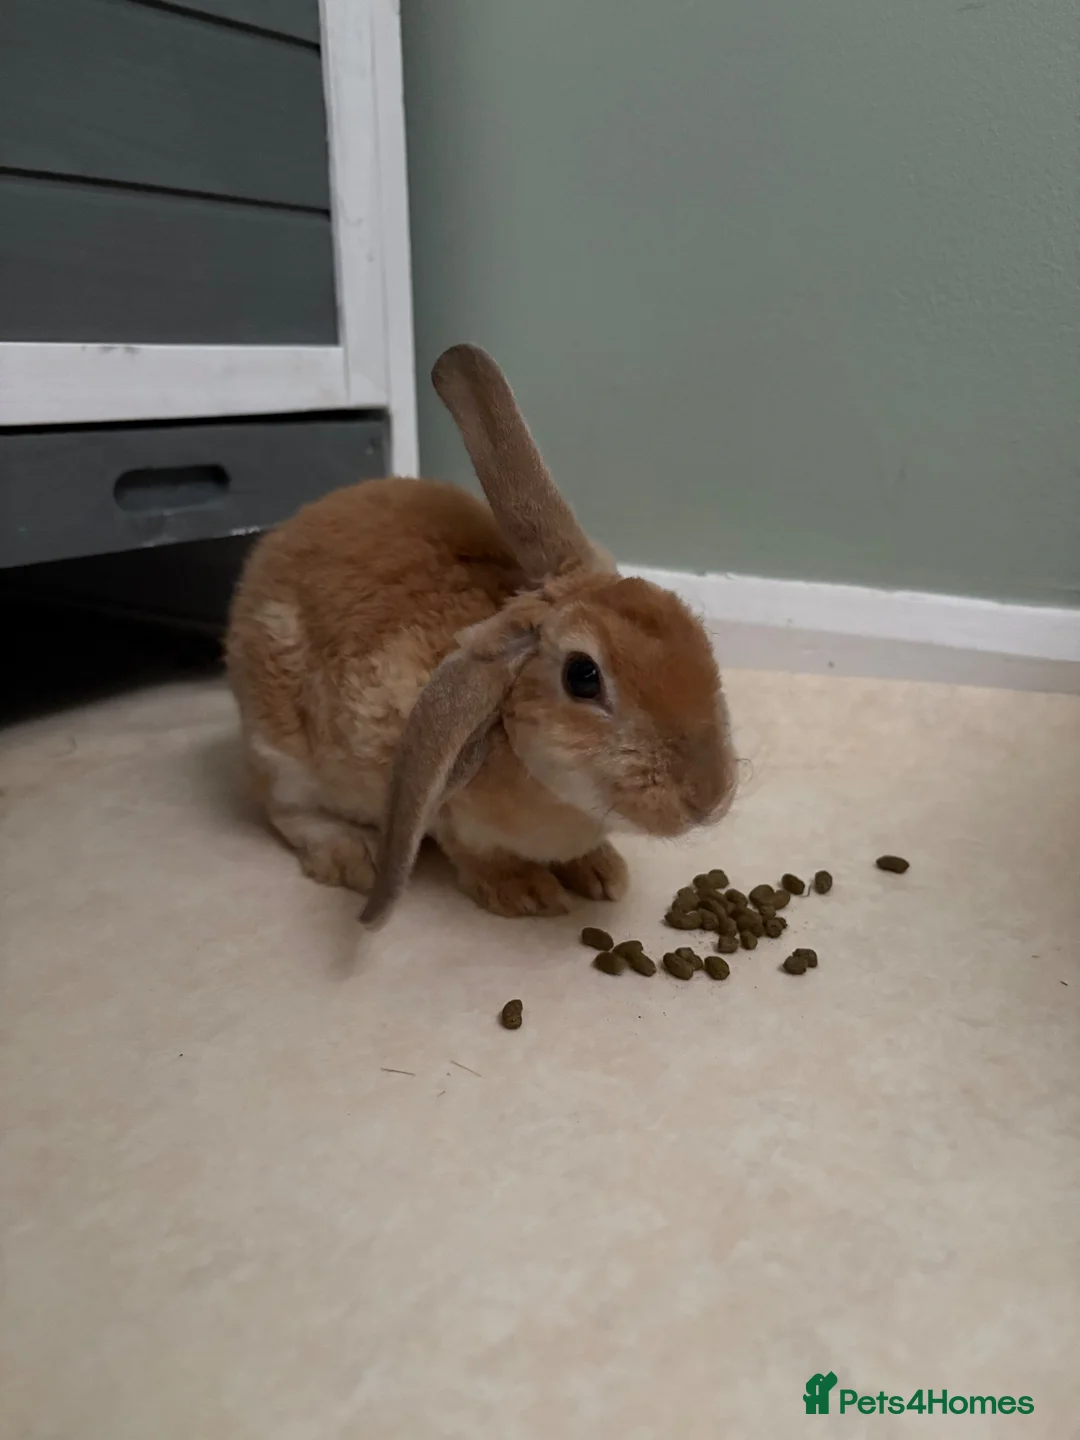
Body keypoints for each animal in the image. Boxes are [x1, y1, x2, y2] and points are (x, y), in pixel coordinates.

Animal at [225, 343, 737, 927]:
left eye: (694, 630)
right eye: (583, 677)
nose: (708, 799)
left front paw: (602, 873)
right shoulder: (440, 801)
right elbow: (475, 852)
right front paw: (527, 893)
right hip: (282, 754)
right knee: (285, 811)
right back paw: (350, 855)